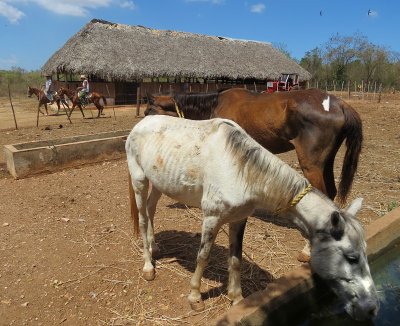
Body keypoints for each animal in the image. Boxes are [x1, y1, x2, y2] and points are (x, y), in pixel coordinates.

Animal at [126, 115, 380, 320]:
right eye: (352, 258)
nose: (371, 308)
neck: (242, 170)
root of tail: (141, 123)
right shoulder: (211, 218)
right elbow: (203, 257)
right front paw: (195, 297)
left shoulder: (239, 219)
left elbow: (236, 259)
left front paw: (237, 299)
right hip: (139, 180)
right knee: (142, 218)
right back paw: (148, 266)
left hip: (160, 183)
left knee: (151, 209)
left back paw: (155, 246)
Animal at [146, 88, 362, 206]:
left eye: (149, 110)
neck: (216, 103)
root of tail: (338, 103)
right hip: (327, 162)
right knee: (332, 192)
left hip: (311, 165)